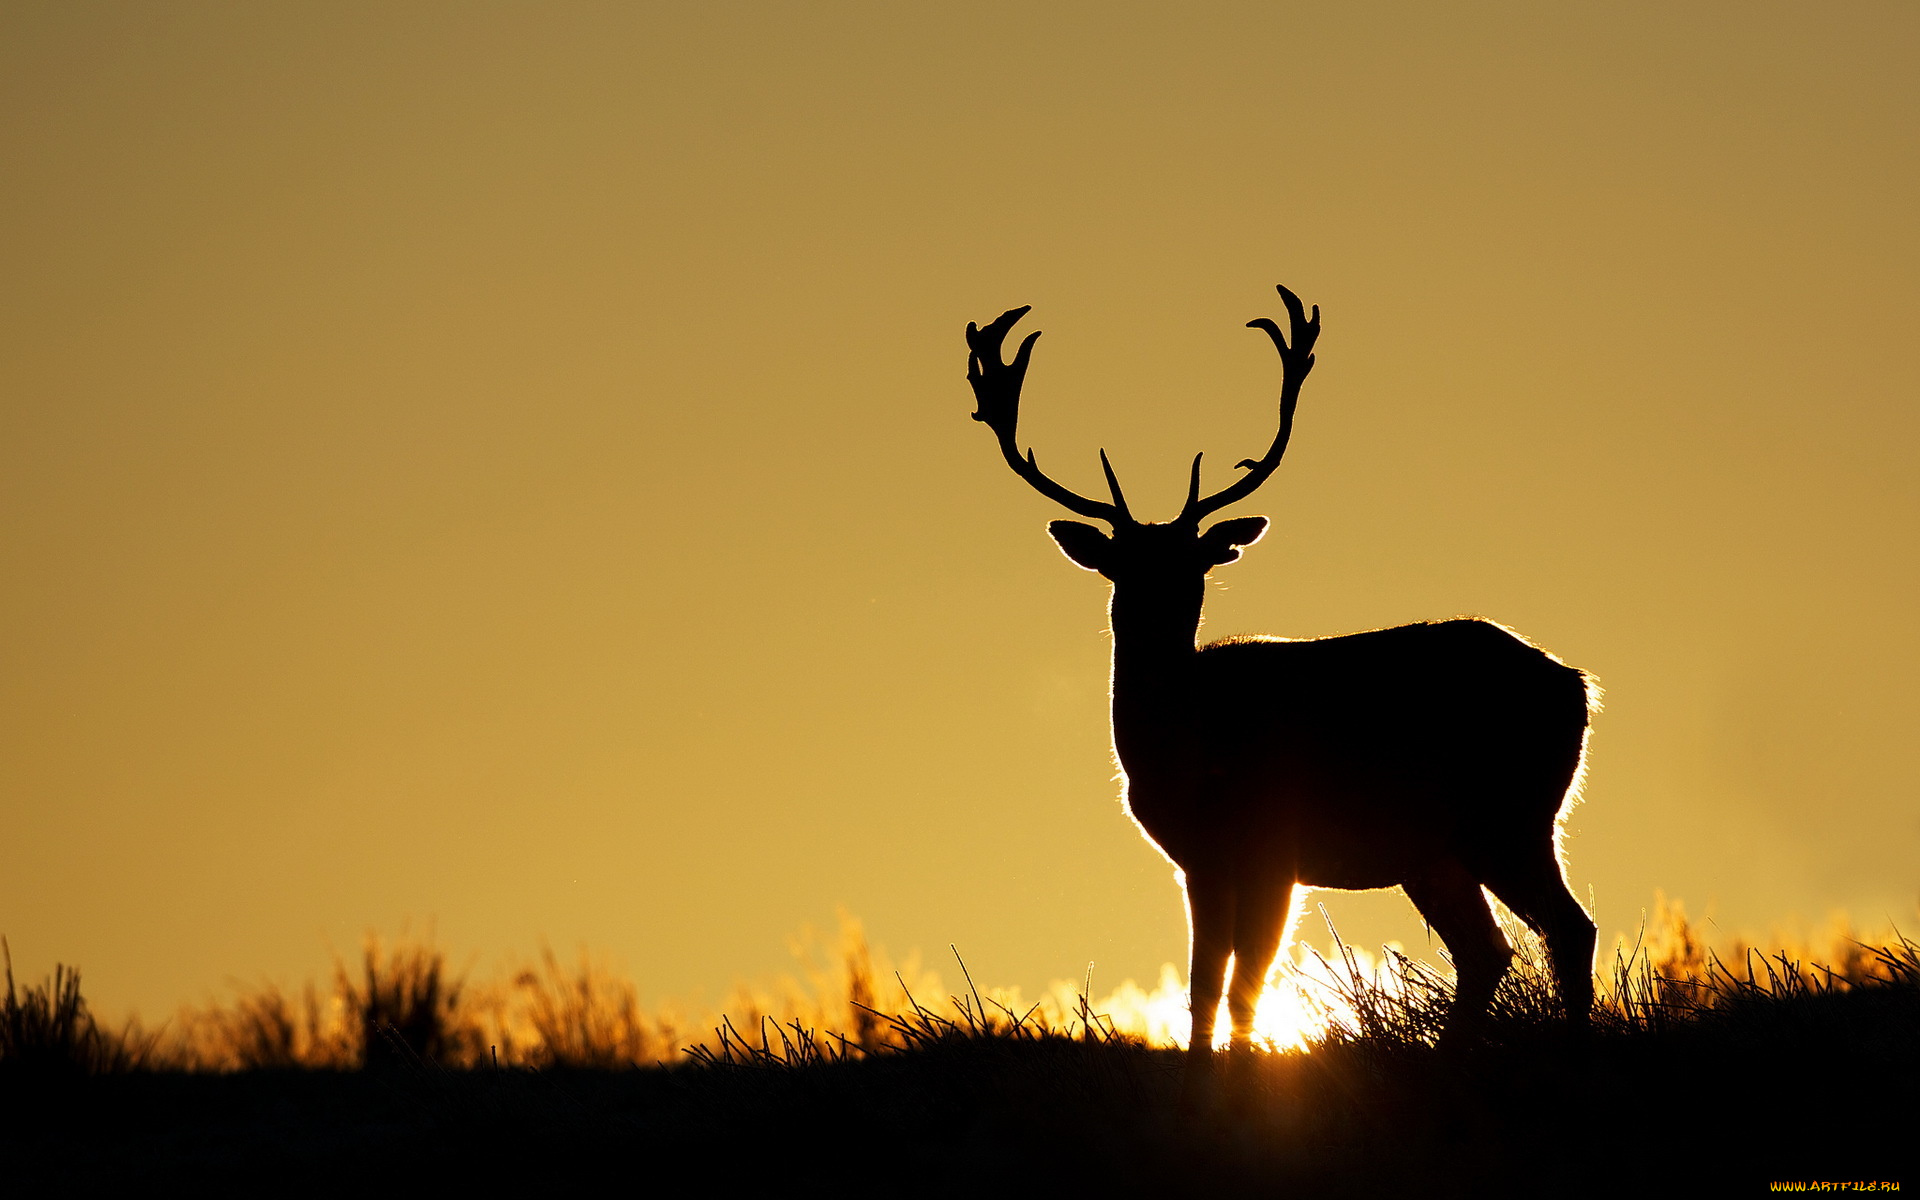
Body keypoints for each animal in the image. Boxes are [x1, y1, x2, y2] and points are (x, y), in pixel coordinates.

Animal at [967, 282, 1597, 1059]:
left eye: (1197, 565)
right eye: (1124, 566)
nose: (1158, 616)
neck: (1190, 752)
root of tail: (1577, 685)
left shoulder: (1274, 847)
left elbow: (1247, 981)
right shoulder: (1200, 862)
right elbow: (1204, 983)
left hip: (1508, 813)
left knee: (1568, 928)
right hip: (1437, 849)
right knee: (1488, 949)